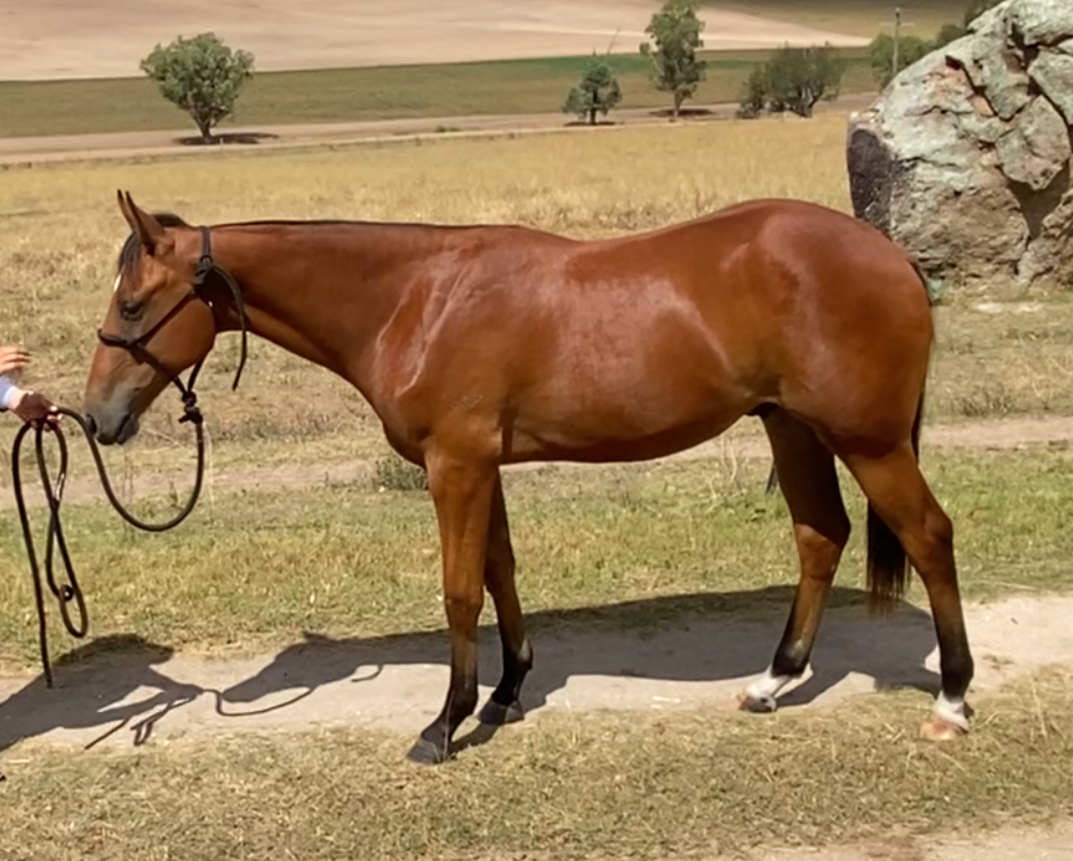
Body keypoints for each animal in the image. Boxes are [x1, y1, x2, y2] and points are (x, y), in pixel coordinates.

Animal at [83, 191, 975, 764]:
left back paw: (951, 700)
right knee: (819, 534)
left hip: (868, 441)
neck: (416, 299)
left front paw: (444, 724)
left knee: (929, 536)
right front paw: (507, 690)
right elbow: (500, 572)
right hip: (791, 428)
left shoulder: (456, 465)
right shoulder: (483, 464)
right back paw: (772, 681)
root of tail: (888, 253)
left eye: (132, 305)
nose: (95, 417)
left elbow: (458, 590)